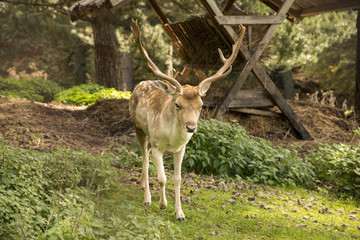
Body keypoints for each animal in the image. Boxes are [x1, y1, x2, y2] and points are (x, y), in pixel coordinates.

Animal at [129, 19, 245, 221]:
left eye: (201, 105)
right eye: (177, 104)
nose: (190, 127)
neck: (171, 140)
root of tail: (140, 83)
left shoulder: (181, 149)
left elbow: (177, 179)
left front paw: (180, 214)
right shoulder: (158, 147)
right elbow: (162, 178)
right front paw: (163, 204)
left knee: (146, 158)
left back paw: (143, 184)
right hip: (139, 128)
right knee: (144, 157)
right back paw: (147, 197)